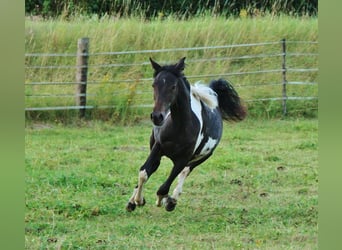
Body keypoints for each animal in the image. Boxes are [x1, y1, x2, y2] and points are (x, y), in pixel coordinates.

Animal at [125, 57, 246, 212]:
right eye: (154, 85)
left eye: (173, 86)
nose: (157, 117)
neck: (179, 127)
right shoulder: (157, 148)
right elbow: (144, 173)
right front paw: (137, 201)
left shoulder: (183, 159)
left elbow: (164, 187)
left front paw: (164, 201)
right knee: (154, 168)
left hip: (202, 157)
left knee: (185, 172)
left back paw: (172, 200)